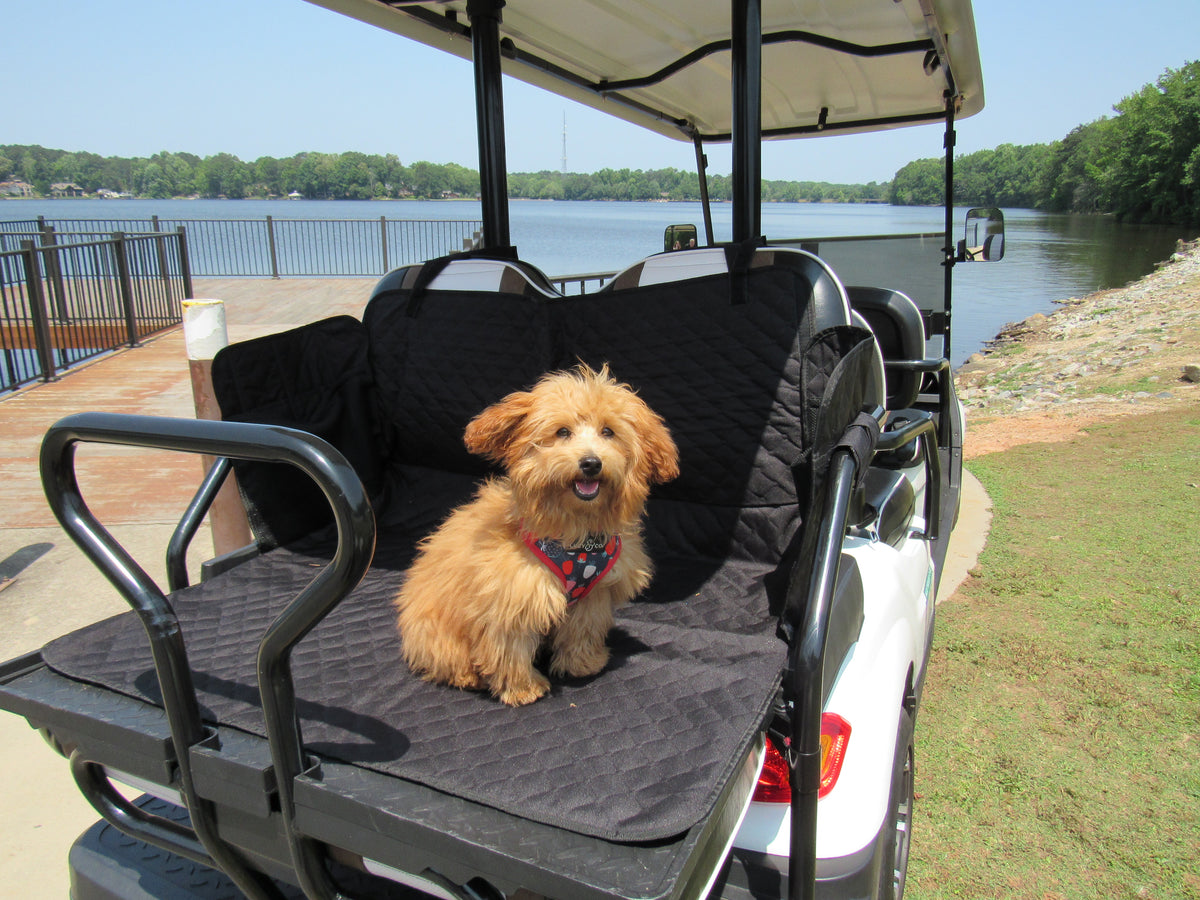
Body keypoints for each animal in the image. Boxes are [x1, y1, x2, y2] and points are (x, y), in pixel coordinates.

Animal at [393, 362, 676, 710]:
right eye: (562, 432)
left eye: (608, 431)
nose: (591, 463)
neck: (576, 538)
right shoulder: (512, 595)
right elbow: (510, 647)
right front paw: (522, 687)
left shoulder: (592, 594)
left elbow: (583, 629)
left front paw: (582, 664)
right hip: (437, 631)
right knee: (445, 658)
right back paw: (468, 676)